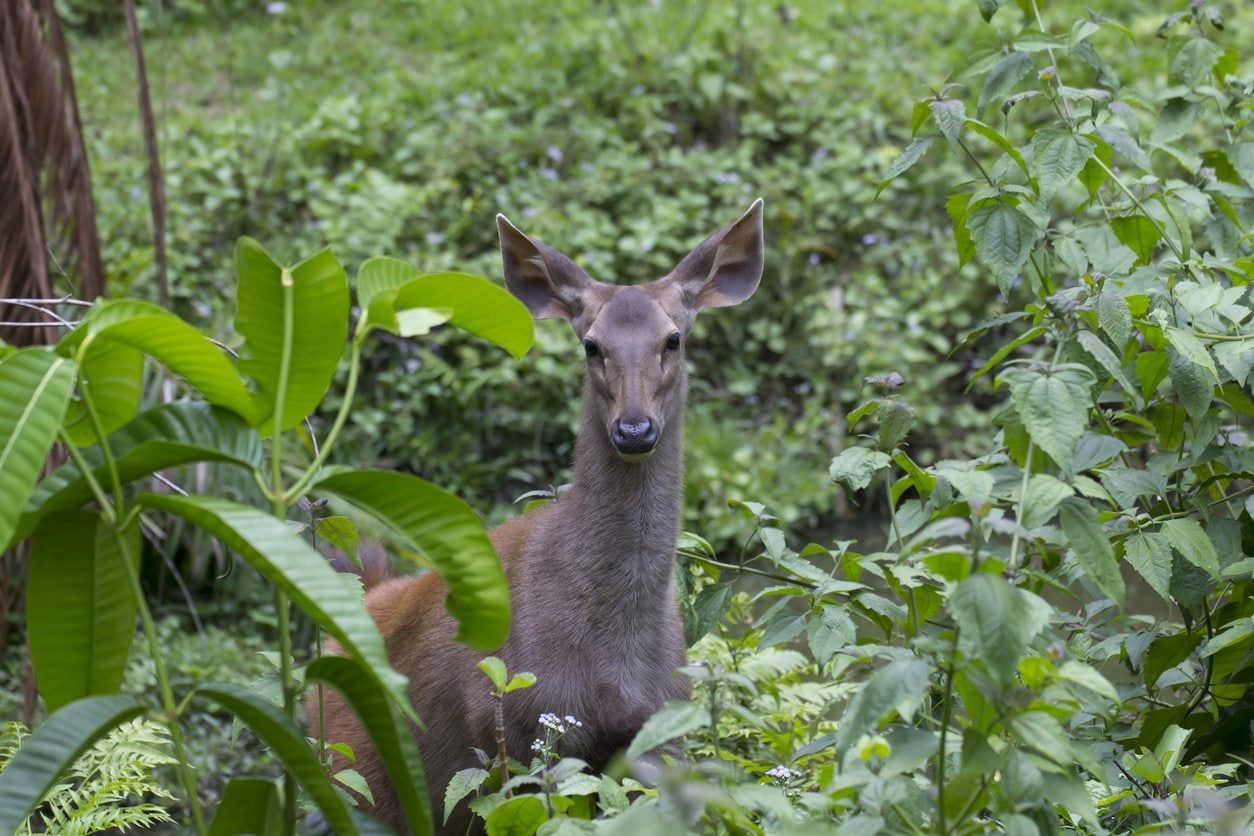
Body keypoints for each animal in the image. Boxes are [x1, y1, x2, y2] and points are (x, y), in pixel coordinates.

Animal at [321, 199, 762, 832]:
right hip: (350, 778)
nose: (634, 429)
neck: (610, 654)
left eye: (674, 339)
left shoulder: (664, 731)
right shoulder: (518, 730)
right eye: (591, 345)